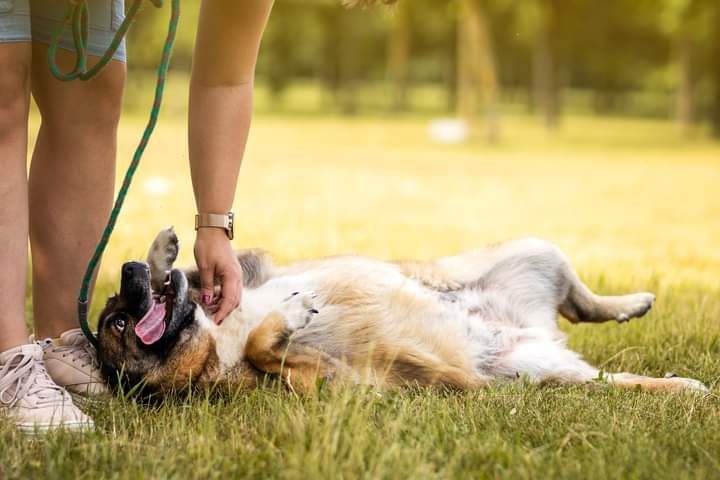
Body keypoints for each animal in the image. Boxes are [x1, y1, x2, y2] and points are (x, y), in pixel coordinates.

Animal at [95, 229, 708, 394]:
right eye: (118, 324)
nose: (124, 273)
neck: (216, 339)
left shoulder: (248, 270)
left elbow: (200, 277)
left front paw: (160, 256)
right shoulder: (321, 386)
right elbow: (263, 345)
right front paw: (291, 318)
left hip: (533, 250)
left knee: (584, 304)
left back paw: (633, 305)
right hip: (541, 372)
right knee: (608, 374)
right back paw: (681, 386)